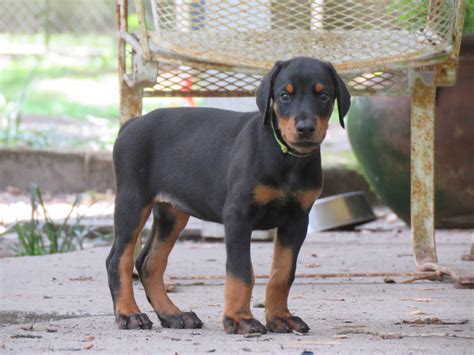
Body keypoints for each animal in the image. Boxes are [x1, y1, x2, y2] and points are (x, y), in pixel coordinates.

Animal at [105, 57, 350, 336]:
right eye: (284, 95)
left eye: (325, 95)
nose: (306, 128)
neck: (285, 157)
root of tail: (130, 125)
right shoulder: (238, 215)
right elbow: (241, 271)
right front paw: (239, 319)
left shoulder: (297, 220)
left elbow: (283, 272)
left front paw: (280, 318)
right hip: (132, 201)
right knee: (118, 260)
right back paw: (129, 314)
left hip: (172, 212)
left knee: (149, 262)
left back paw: (174, 315)